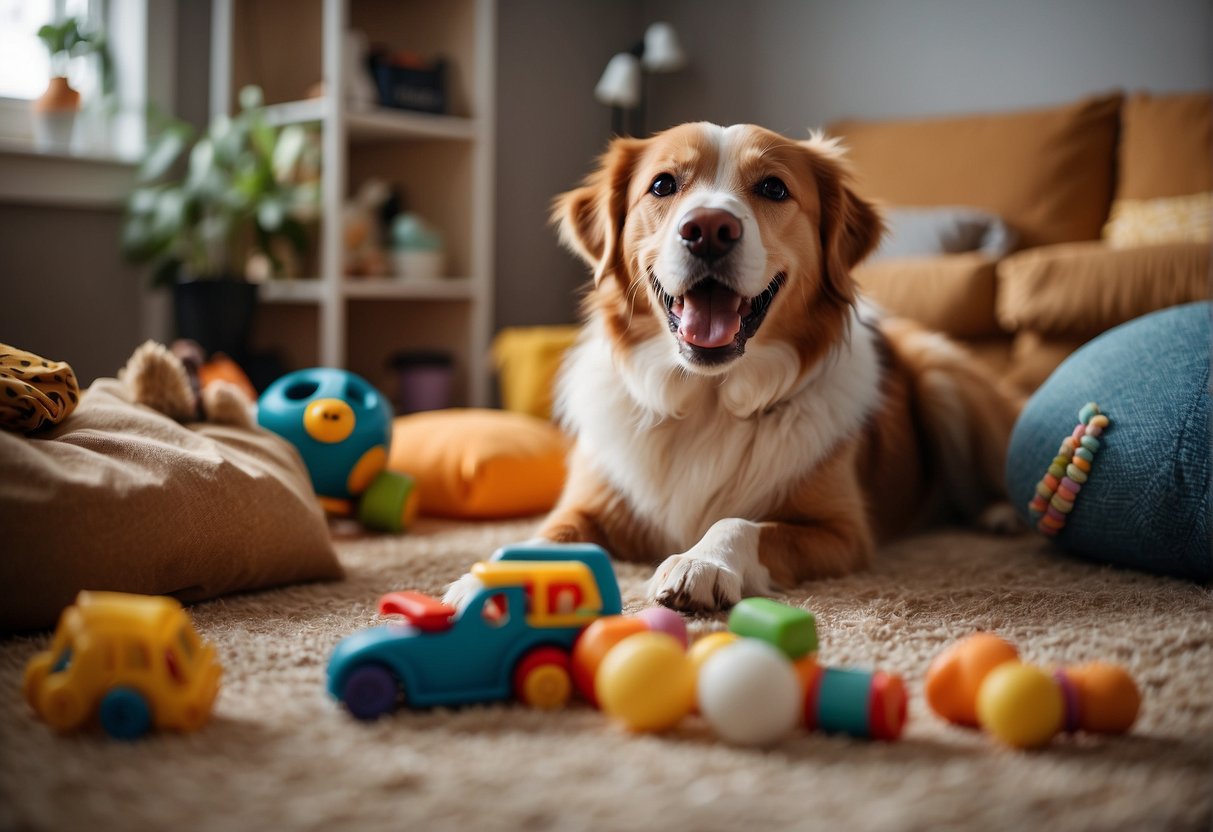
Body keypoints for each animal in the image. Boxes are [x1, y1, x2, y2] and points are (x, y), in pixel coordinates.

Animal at [453, 125, 1014, 618]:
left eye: (773, 187)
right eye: (663, 184)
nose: (708, 230)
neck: (707, 399)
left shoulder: (842, 532)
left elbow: (739, 522)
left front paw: (701, 562)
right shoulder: (584, 507)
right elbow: (539, 539)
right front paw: (489, 579)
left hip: (941, 372)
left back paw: (999, 514)